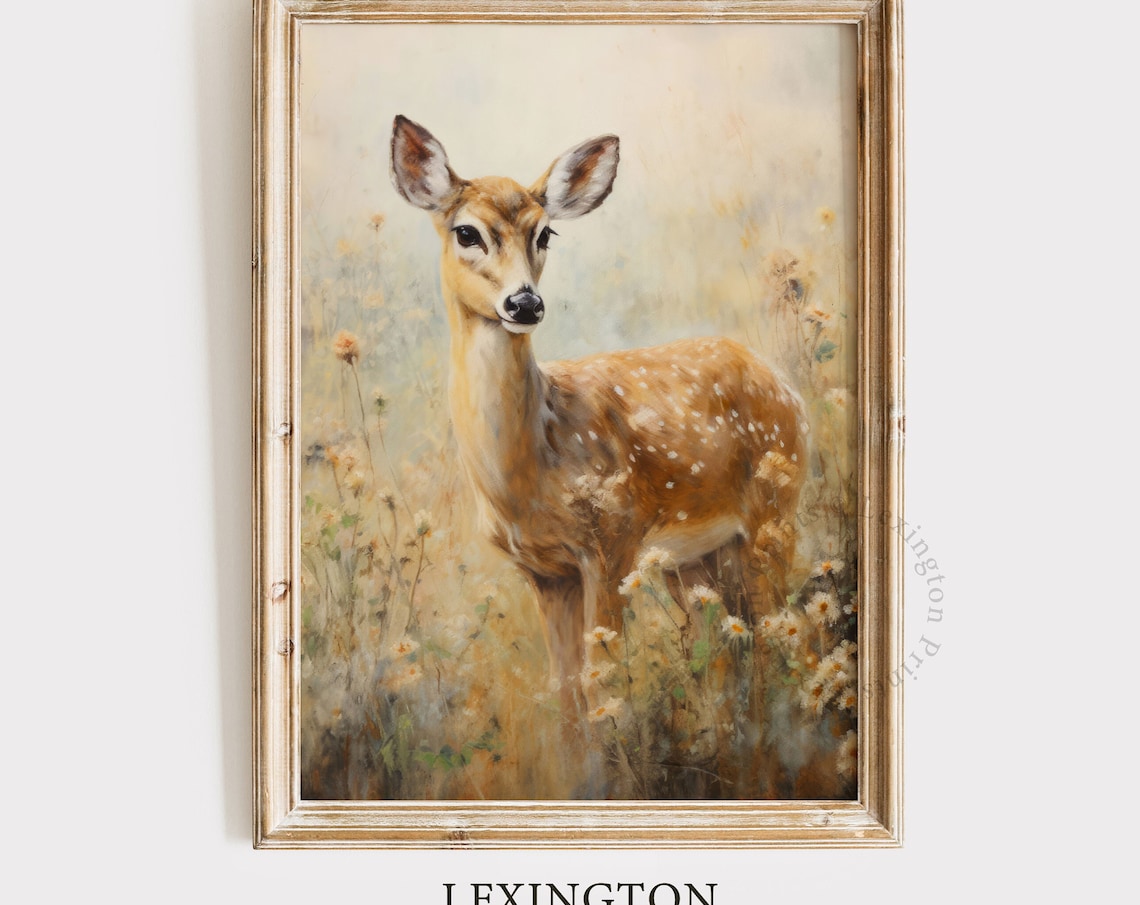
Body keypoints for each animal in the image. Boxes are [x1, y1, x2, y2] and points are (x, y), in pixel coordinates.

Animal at [390, 115, 807, 721]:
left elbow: (605, 683)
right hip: (695, 560)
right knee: (732, 645)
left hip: (773, 514)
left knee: (783, 630)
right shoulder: (547, 572)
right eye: (466, 233)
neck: (527, 469)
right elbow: (566, 692)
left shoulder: (612, 542)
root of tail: (783, 385)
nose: (524, 304)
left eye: (545, 234)